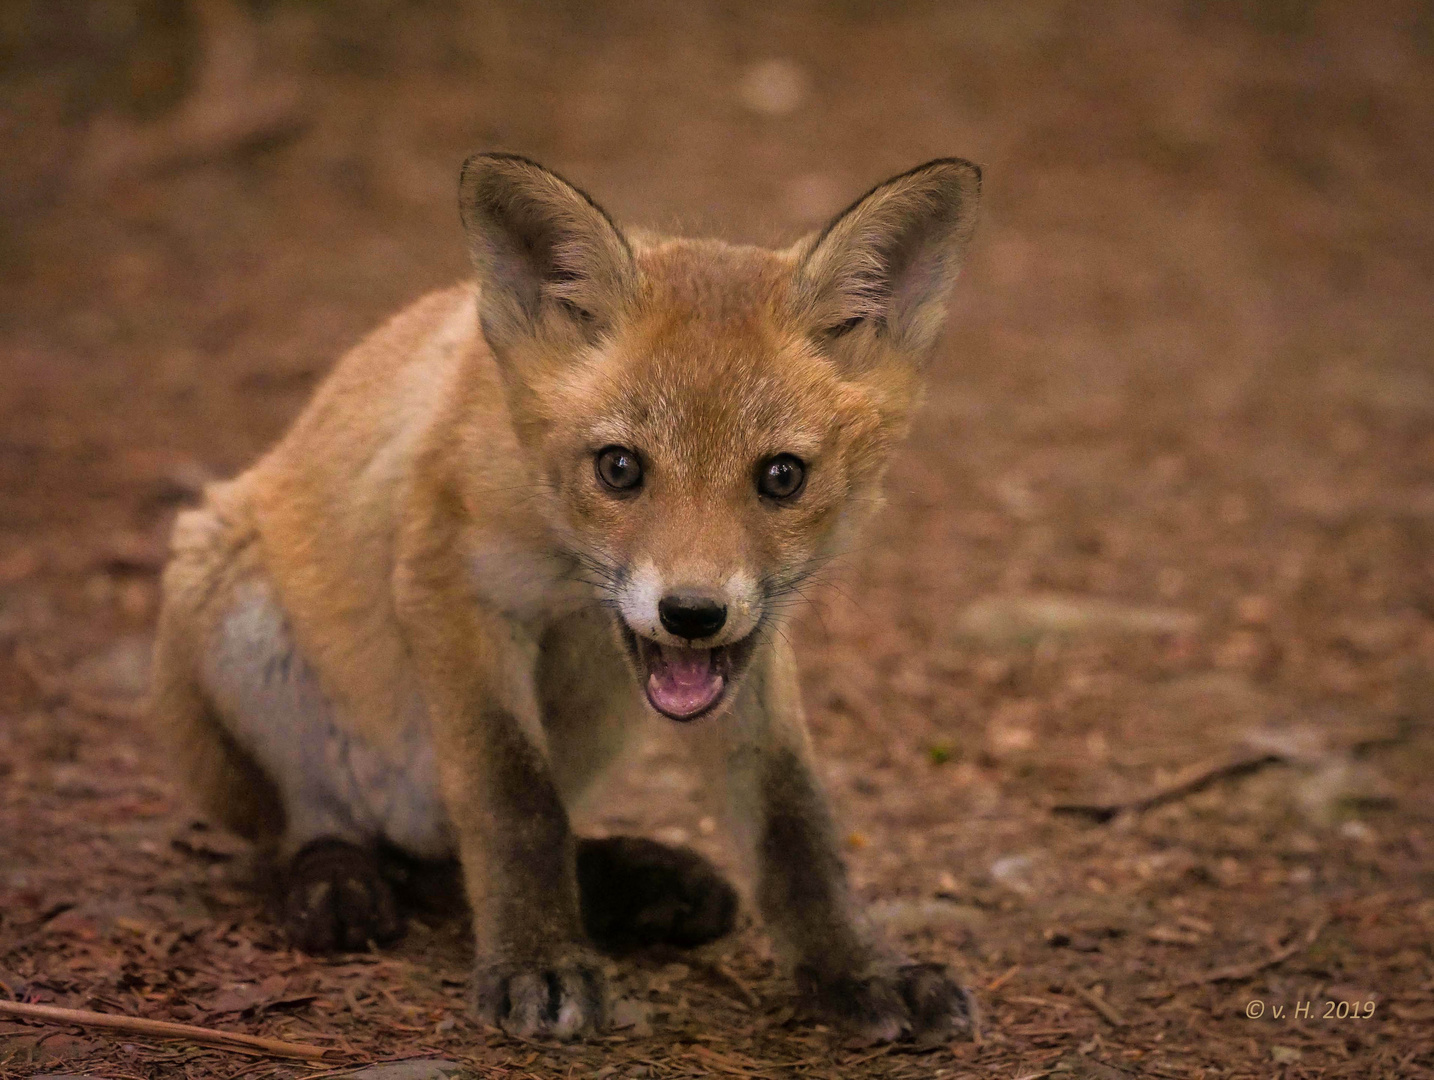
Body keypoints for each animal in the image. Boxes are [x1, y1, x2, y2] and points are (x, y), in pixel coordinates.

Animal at [154, 152, 986, 1038]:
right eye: (619, 467)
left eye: (782, 477)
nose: (692, 614)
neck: (560, 559)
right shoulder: (450, 585)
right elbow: (514, 801)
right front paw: (538, 958)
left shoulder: (753, 647)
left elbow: (794, 824)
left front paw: (859, 969)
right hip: (231, 607)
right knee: (318, 822)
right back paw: (335, 878)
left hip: (601, 707)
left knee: (462, 853)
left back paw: (627, 882)